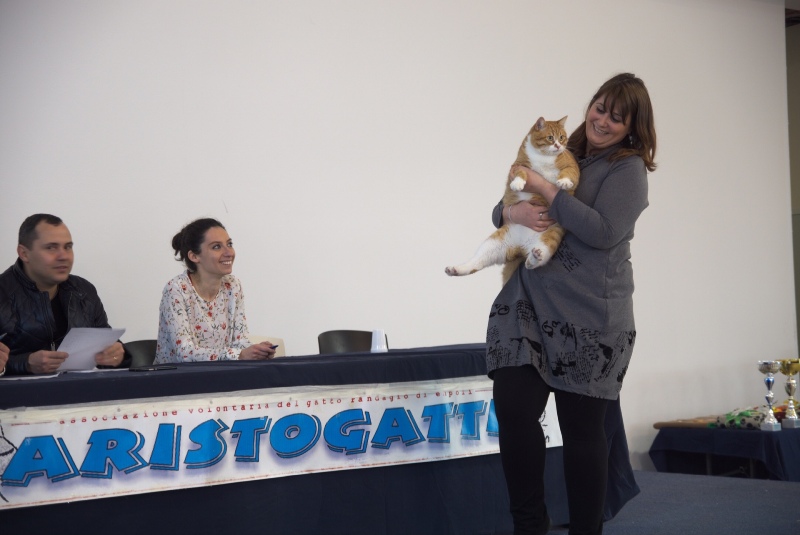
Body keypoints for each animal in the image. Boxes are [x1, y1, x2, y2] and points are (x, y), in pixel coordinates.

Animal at [445, 116, 580, 283]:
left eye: (562, 137)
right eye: (550, 138)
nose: (558, 145)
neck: (544, 157)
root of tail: (522, 248)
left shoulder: (572, 166)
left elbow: (568, 173)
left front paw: (564, 182)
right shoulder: (518, 166)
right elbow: (521, 173)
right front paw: (517, 183)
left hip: (550, 240)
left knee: (535, 261)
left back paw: (535, 256)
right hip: (493, 243)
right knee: (476, 262)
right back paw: (455, 269)